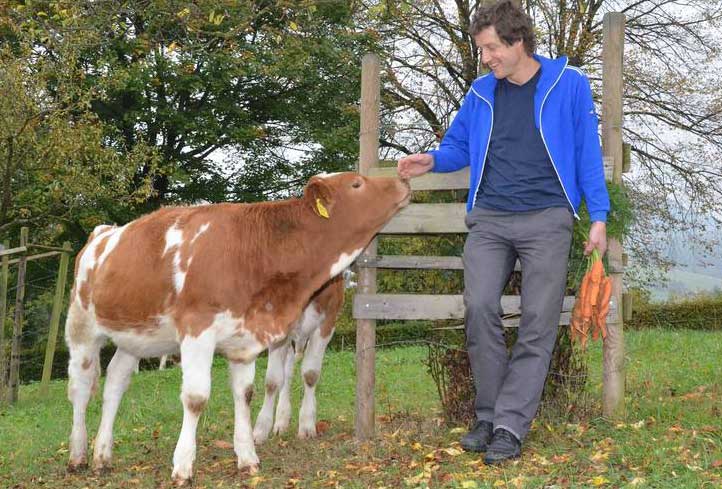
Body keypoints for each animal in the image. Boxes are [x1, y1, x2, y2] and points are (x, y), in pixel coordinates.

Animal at [64, 171, 408, 480]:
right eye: (357, 183)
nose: (403, 179)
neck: (253, 250)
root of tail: (103, 233)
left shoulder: (246, 337)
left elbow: (245, 394)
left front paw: (247, 457)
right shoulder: (197, 330)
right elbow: (196, 398)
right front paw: (183, 466)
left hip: (136, 336)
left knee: (115, 382)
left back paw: (102, 455)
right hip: (81, 327)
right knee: (80, 388)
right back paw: (78, 454)